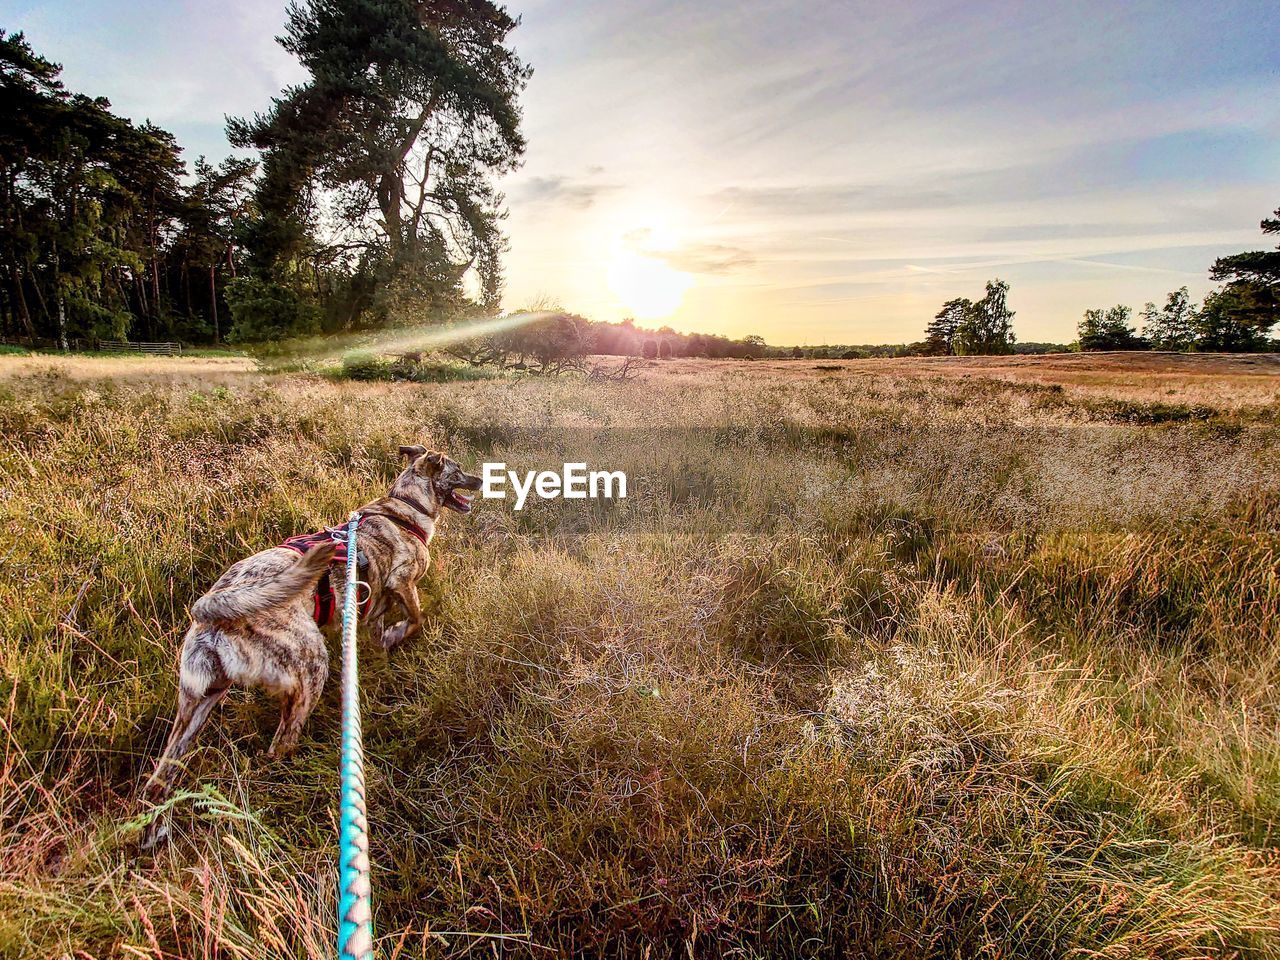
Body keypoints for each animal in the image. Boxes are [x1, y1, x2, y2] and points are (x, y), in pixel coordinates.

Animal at [140, 448, 481, 844]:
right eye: (457, 470)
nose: (482, 480)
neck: (405, 505)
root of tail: (214, 608)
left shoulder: (373, 606)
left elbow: (380, 636)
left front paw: (384, 650)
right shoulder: (402, 581)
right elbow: (415, 619)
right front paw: (398, 634)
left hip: (196, 705)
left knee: (161, 776)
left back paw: (155, 827)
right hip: (312, 667)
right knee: (278, 746)